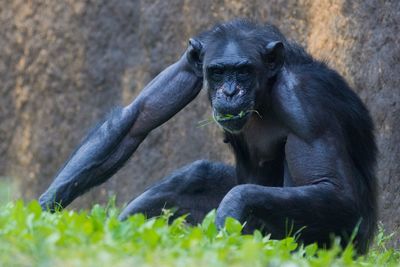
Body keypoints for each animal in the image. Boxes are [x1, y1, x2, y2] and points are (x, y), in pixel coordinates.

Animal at [39, 19, 376, 254]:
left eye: (243, 71)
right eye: (217, 72)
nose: (229, 91)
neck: (267, 88)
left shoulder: (306, 106)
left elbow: (332, 187)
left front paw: (231, 213)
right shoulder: (189, 64)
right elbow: (134, 119)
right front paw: (45, 211)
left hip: (336, 243)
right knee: (194, 176)